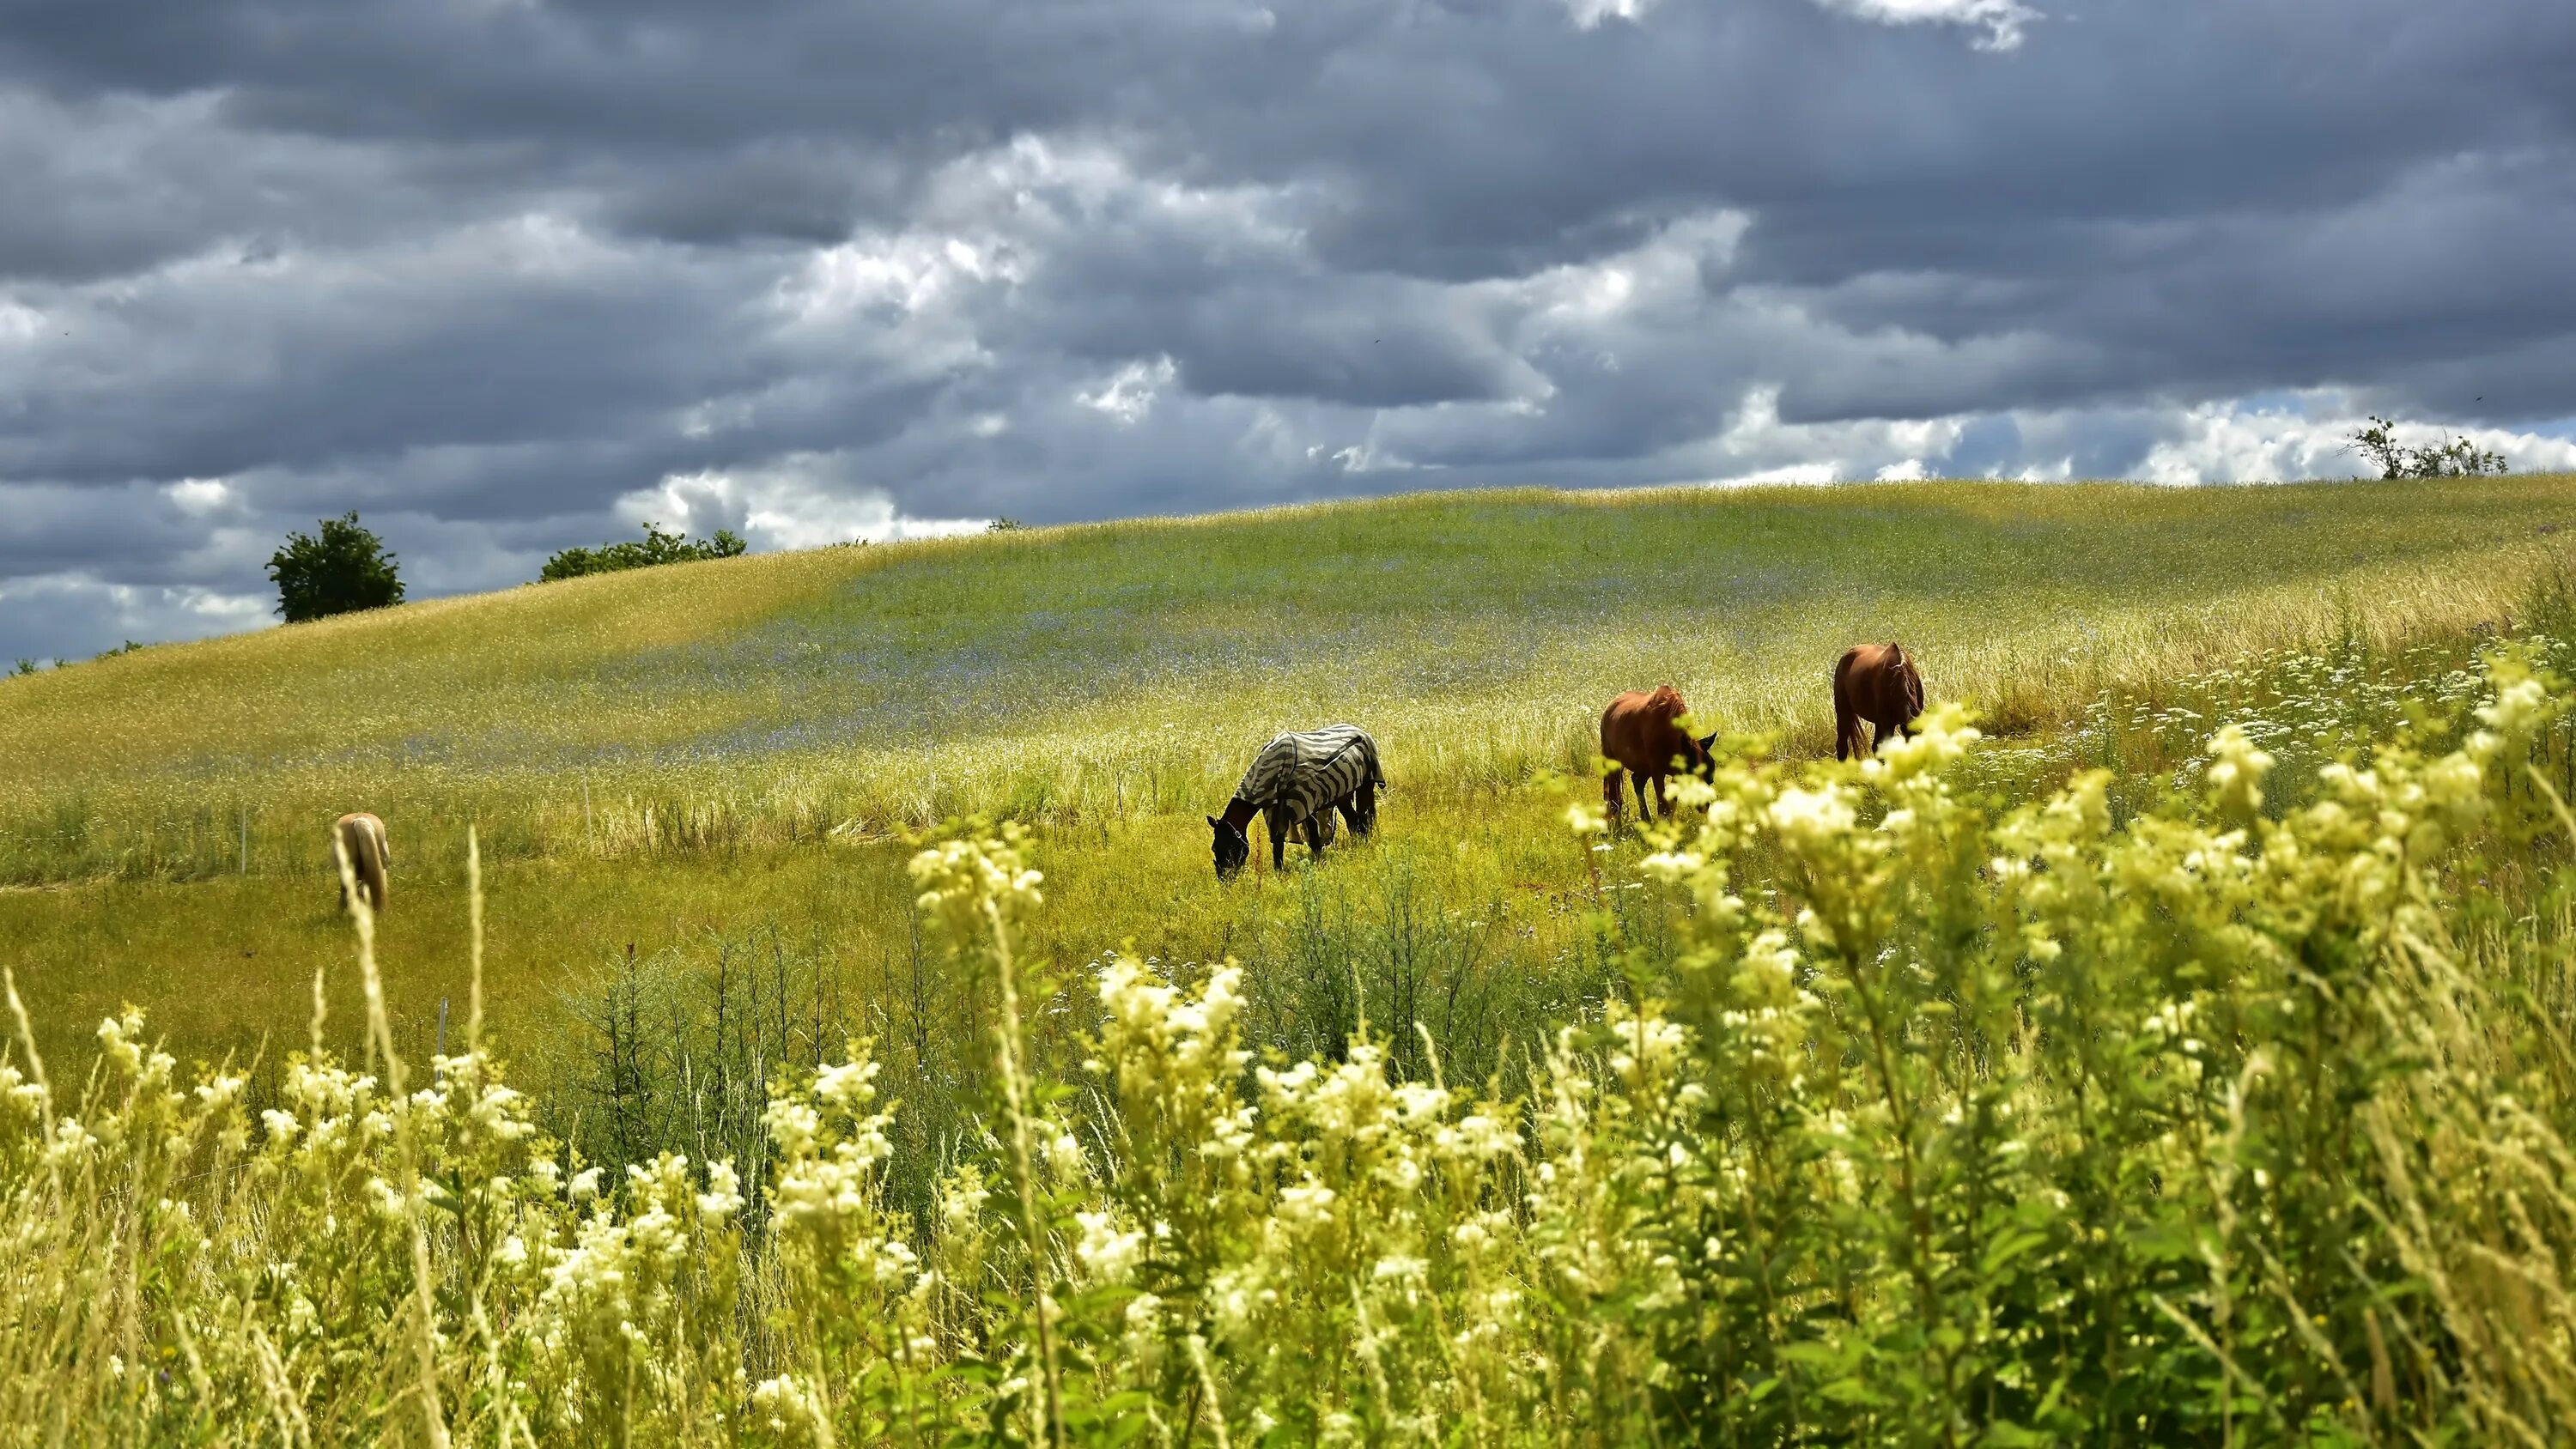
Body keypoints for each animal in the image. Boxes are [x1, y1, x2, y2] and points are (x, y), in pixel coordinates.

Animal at [1211, 725, 1391, 885]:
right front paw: (1279, 873)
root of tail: (1360, 730)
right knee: (1354, 822)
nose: (1224, 881)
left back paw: (1364, 844)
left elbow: (1313, 840)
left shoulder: (1305, 802)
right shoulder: (1276, 810)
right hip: (1343, 797)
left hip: (1366, 785)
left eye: (1230, 849)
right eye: (1214, 848)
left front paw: (1318, 864)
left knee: (1365, 819)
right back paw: (1358, 845)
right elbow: (1278, 844)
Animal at [1597, 684, 1721, 823]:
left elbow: (1671, 806)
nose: (1705, 806)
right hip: (1612, 762)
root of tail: (1610, 708)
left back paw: (1646, 819)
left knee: (1637, 781)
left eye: (1710, 780)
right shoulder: (1658, 772)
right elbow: (1664, 808)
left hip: (1643, 767)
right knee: (1615, 797)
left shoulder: (1677, 773)